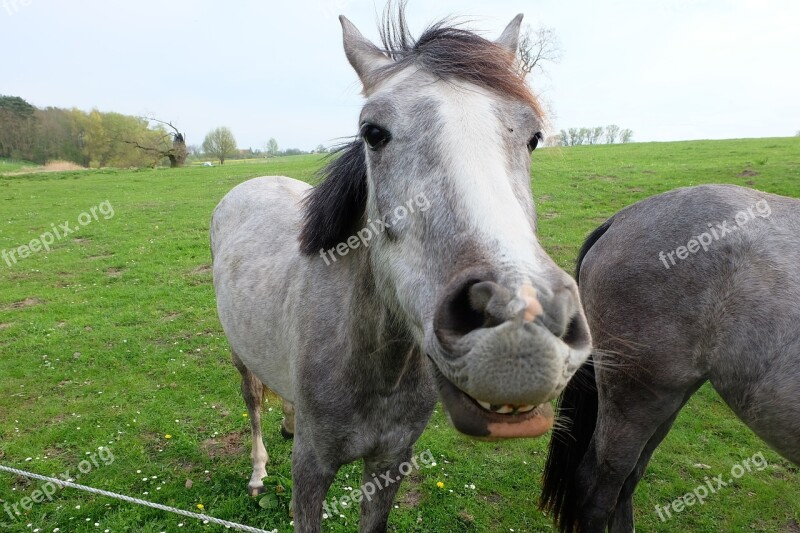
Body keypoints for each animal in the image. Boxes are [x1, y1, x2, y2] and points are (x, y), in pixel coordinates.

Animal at [209, 8, 592, 532]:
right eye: (373, 132)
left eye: (533, 137)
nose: (522, 331)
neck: (375, 366)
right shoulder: (311, 469)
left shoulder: (391, 462)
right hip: (239, 356)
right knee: (252, 404)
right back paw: (257, 472)